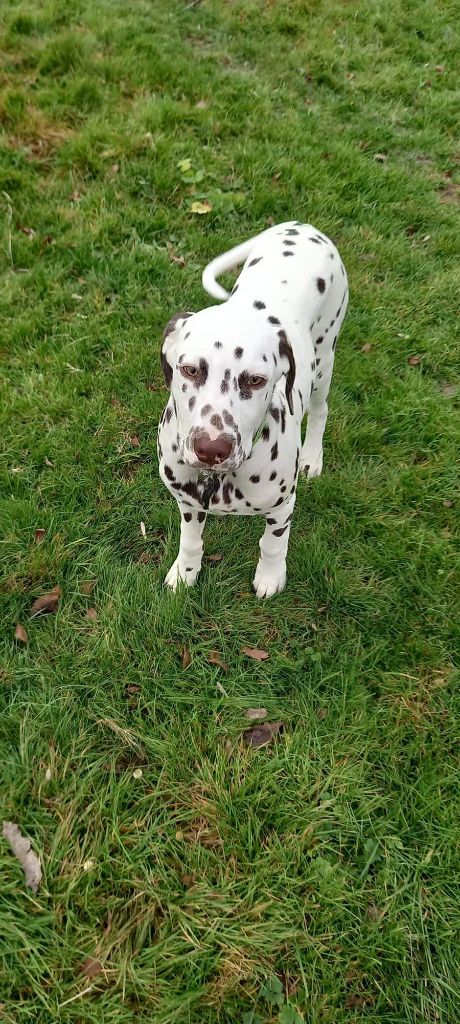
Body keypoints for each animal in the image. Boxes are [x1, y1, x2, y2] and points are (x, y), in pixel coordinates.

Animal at [157, 221, 348, 597]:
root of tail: (300, 224)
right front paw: (185, 573)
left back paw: (313, 456)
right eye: (190, 370)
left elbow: (273, 543)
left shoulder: (282, 506)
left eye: (256, 380)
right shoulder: (187, 503)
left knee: (321, 411)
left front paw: (270, 576)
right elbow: (190, 541)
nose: (211, 449)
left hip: (324, 361)